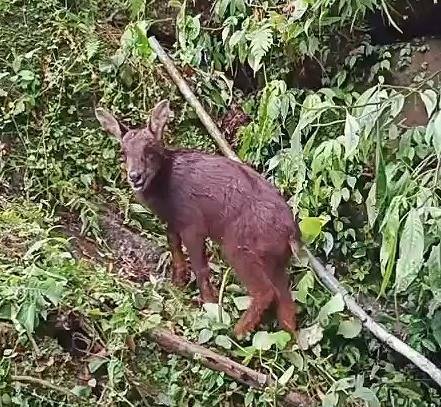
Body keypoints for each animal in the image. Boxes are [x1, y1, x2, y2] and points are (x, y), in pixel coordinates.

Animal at [96, 100, 300, 340]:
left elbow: (201, 267)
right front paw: (177, 285)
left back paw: (235, 332)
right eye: (124, 151)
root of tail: (291, 232)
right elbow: (174, 246)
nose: (135, 176)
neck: (166, 191)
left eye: (150, 149)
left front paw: (208, 307)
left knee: (266, 292)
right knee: (287, 305)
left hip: (239, 247)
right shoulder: (174, 222)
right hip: (276, 260)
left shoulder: (193, 223)